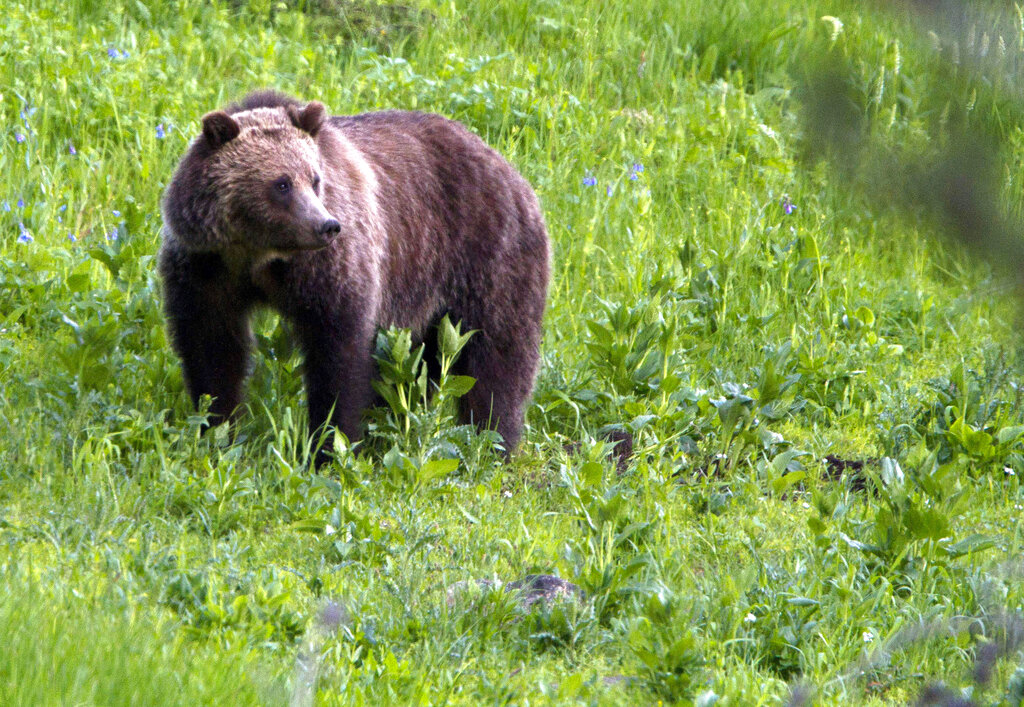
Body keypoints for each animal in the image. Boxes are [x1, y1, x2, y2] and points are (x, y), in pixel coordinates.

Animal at [159, 90, 550, 464]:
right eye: (282, 184)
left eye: (315, 179)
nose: (326, 225)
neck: (259, 255)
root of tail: (508, 166)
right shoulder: (206, 269)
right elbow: (212, 348)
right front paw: (216, 429)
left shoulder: (329, 270)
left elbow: (338, 354)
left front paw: (330, 446)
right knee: (421, 363)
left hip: (486, 255)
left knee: (498, 354)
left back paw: (493, 441)